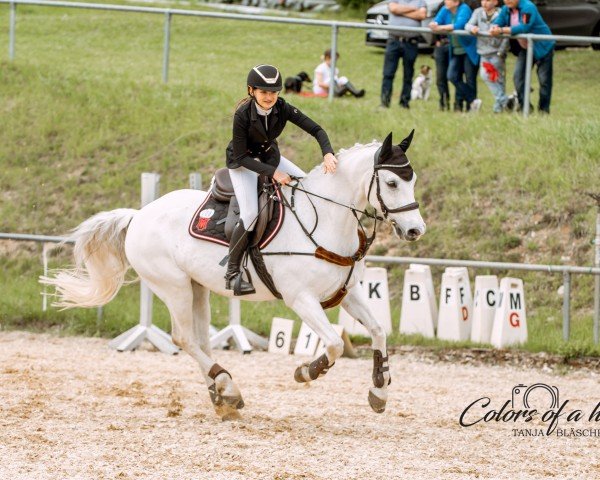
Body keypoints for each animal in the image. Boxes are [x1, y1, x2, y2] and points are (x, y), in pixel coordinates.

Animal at [42, 131, 426, 420]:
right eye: (392, 182)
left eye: (412, 181)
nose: (415, 230)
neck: (326, 219)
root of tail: (139, 215)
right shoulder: (301, 299)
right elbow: (333, 343)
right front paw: (305, 372)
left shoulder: (349, 293)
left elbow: (378, 331)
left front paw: (379, 390)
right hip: (174, 287)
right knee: (184, 338)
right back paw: (226, 385)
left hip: (197, 288)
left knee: (200, 340)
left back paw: (222, 393)